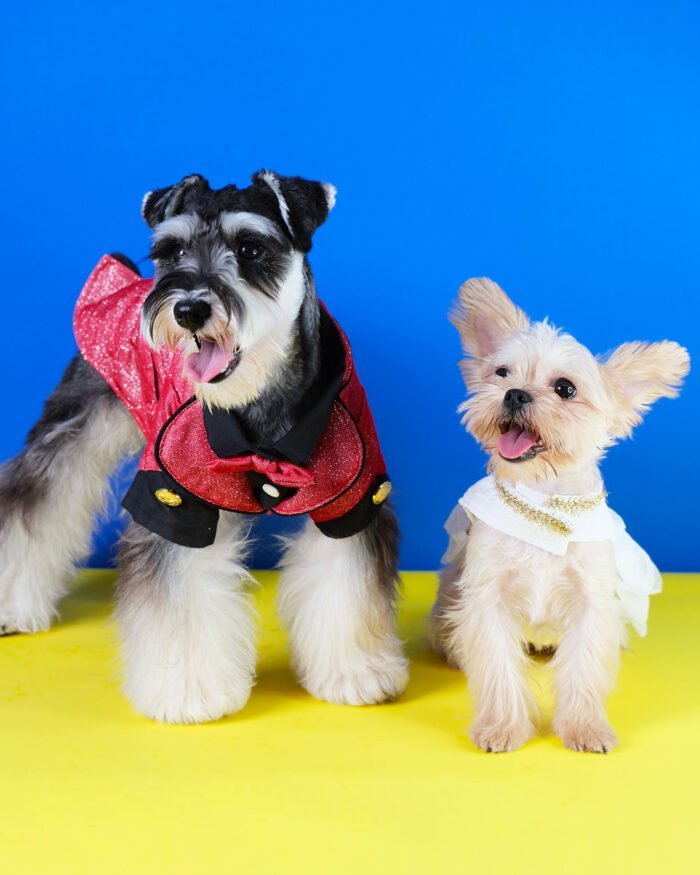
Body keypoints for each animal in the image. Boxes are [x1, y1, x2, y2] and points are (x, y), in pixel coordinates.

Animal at [0, 173, 410, 724]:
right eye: (171, 250)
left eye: (251, 247)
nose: (189, 308)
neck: (259, 399)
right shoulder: (175, 498)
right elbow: (180, 600)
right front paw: (187, 691)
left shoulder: (352, 495)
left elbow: (346, 580)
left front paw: (355, 672)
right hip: (72, 432)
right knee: (34, 501)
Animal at [432, 280, 688, 752]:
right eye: (502, 373)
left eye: (566, 389)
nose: (514, 393)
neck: (542, 505)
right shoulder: (489, 599)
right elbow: (498, 669)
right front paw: (502, 727)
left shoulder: (590, 603)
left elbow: (584, 670)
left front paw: (585, 727)